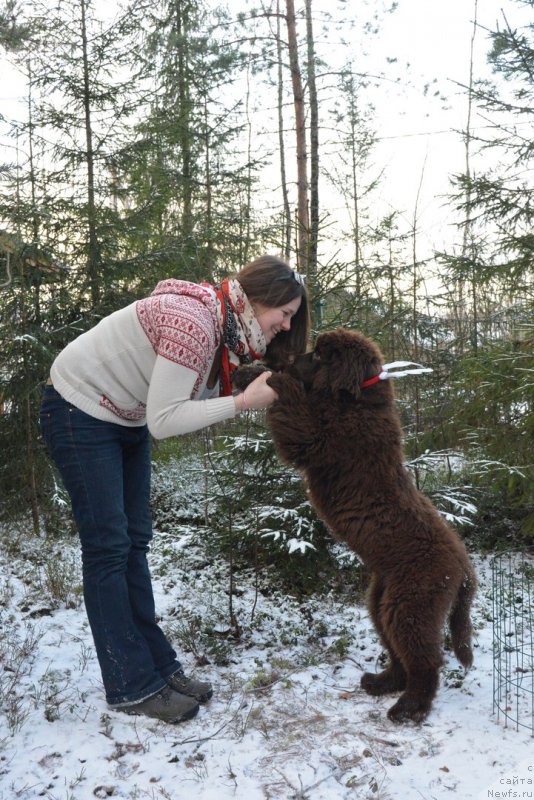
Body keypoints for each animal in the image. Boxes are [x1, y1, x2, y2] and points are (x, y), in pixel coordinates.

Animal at [266, 328, 480, 720]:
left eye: (318, 355)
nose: (286, 361)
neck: (356, 402)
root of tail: (464, 567)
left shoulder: (320, 438)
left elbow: (294, 412)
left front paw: (267, 379)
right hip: (383, 597)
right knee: (398, 651)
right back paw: (383, 683)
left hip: (411, 603)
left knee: (425, 660)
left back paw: (409, 708)